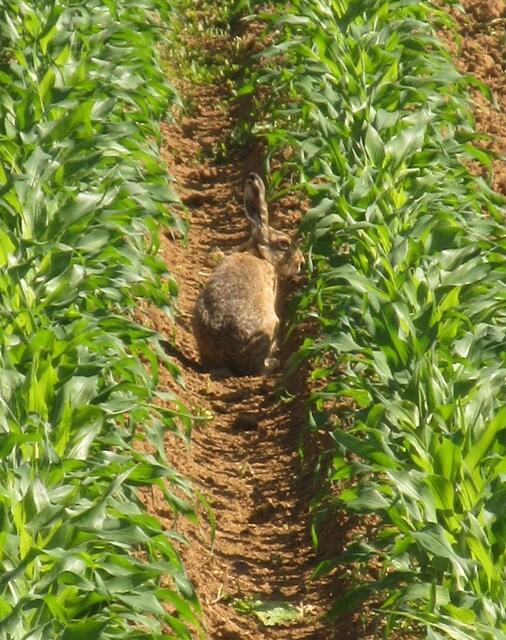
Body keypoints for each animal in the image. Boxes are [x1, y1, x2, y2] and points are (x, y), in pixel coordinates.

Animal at [192, 172, 303, 376]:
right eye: (284, 244)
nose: (301, 263)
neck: (259, 254)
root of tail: (228, 359)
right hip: (270, 327)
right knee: (257, 368)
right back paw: (274, 363)